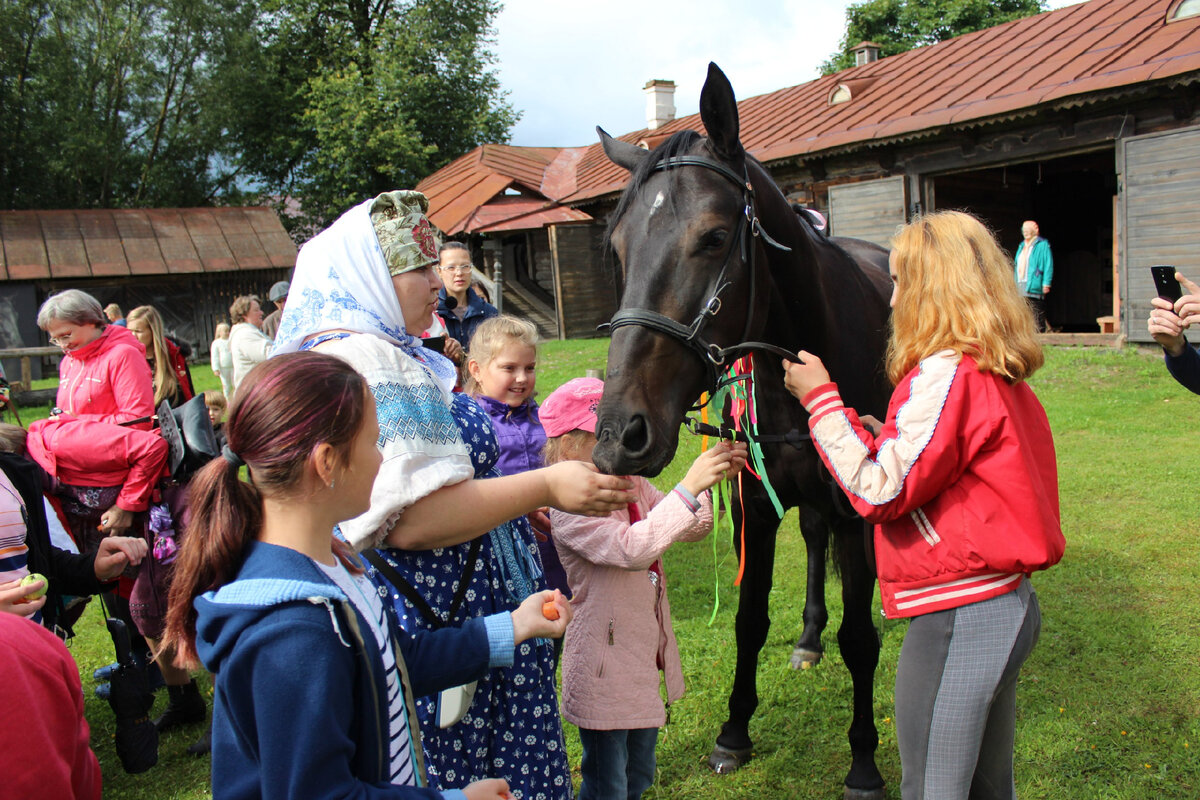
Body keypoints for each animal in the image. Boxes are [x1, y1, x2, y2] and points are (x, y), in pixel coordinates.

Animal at [595, 64, 897, 800]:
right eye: (617, 249)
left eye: (711, 236)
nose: (619, 434)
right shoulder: (757, 503)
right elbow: (748, 619)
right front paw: (734, 732)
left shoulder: (855, 510)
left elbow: (860, 640)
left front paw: (864, 764)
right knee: (811, 541)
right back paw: (809, 639)